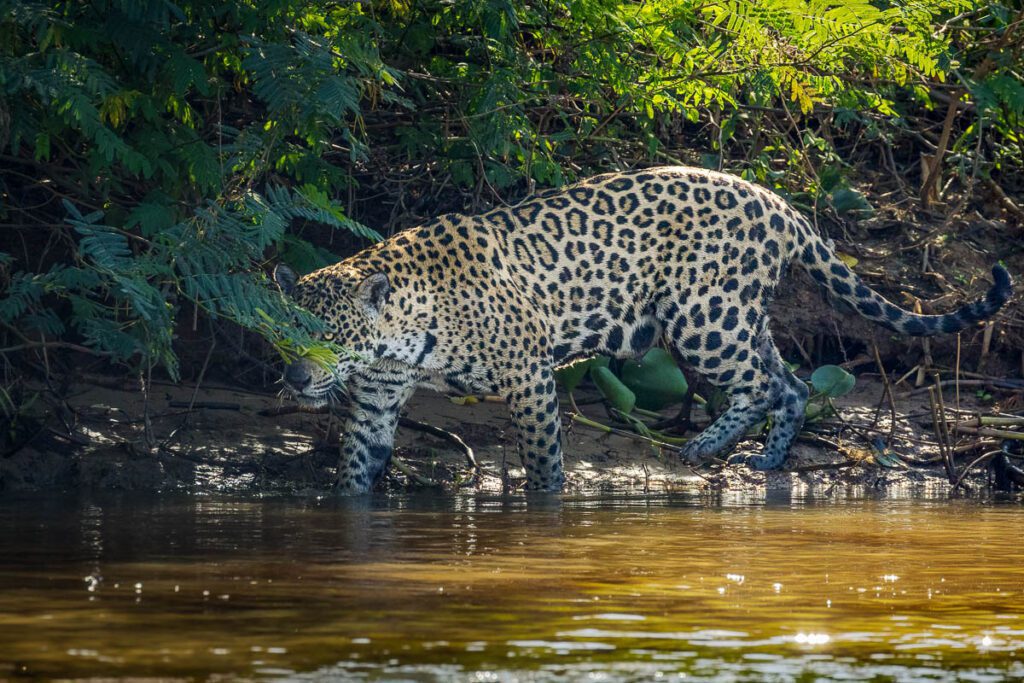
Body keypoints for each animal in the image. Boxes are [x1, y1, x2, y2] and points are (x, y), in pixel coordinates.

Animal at [273, 166, 1012, 494]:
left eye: (330, 339)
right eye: (285, 336)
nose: (296, 379)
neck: (405, 332)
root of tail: (779, 203)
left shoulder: (529, 375)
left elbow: (544, 463)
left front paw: (547, 511)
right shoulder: (376, 395)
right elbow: (357, 467)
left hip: (703, 316)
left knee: (763, 385)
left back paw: (709, 448)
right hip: (736, 315)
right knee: (794, 382)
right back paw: (761, 458)